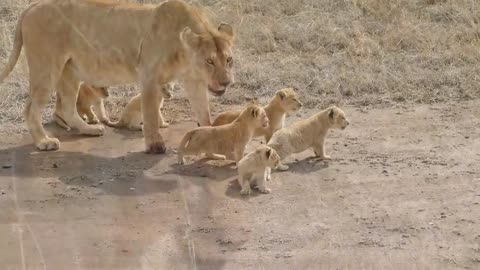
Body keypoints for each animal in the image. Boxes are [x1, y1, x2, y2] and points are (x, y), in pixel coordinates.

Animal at [0, 0, 234, 153]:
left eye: (229, 60)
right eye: (209, 61)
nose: (226, 82)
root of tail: (32, 6)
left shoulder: (193, 81)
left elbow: (203, 111)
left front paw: (209, 134)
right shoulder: (149, 76)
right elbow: (150, 114)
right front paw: (155, 144)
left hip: (70, 71)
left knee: (67, 107)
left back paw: (89, 129)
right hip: (46, 68)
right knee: (31, 108)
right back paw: (43, 141)